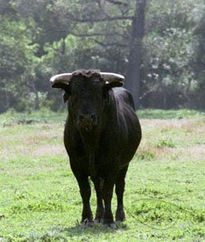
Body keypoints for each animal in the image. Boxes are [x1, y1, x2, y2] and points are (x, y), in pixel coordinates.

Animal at [50, 70, 142, 227]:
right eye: (74, 92)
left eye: (98, 93)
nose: (87, 118)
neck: (90, 140)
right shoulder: (76, 165)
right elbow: (86, 191)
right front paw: (86, 218)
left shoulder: (113, 164)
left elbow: (109, 191)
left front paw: (109, 219)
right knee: (98, 189)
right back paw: (99, 215)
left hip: (124, 165)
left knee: (119, 188)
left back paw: (119, 215)